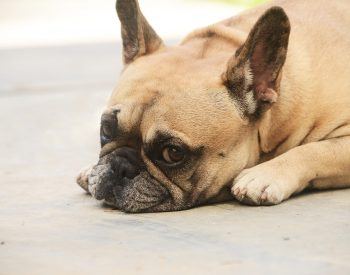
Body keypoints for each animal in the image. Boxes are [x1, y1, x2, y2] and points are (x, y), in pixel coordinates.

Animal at [76, 0, 350, 213]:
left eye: (173, 153)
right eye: (106, 130)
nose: (119, 166)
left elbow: (315, 150)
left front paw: (265, 175)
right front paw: (91, 169)